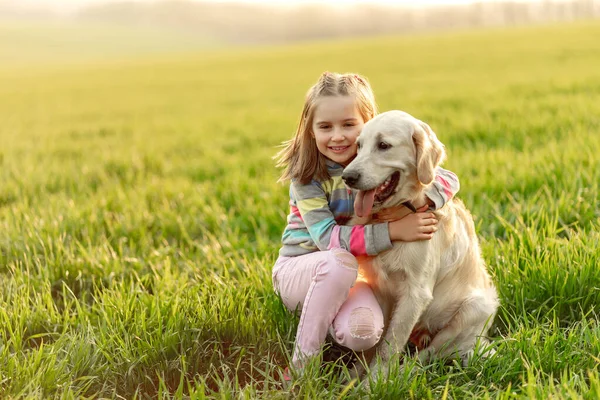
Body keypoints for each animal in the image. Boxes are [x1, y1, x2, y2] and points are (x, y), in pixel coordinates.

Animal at [340, 111, 500, 380]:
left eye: (383, 145)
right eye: (359, 146)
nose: (347, 177)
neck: (394, 216)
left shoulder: (416, 292)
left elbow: (389, 346)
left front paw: (373, 382)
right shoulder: (379, 288)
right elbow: (375, 343)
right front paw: (353, 376)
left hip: (473, 309)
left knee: (430, 355)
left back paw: (407, 371)